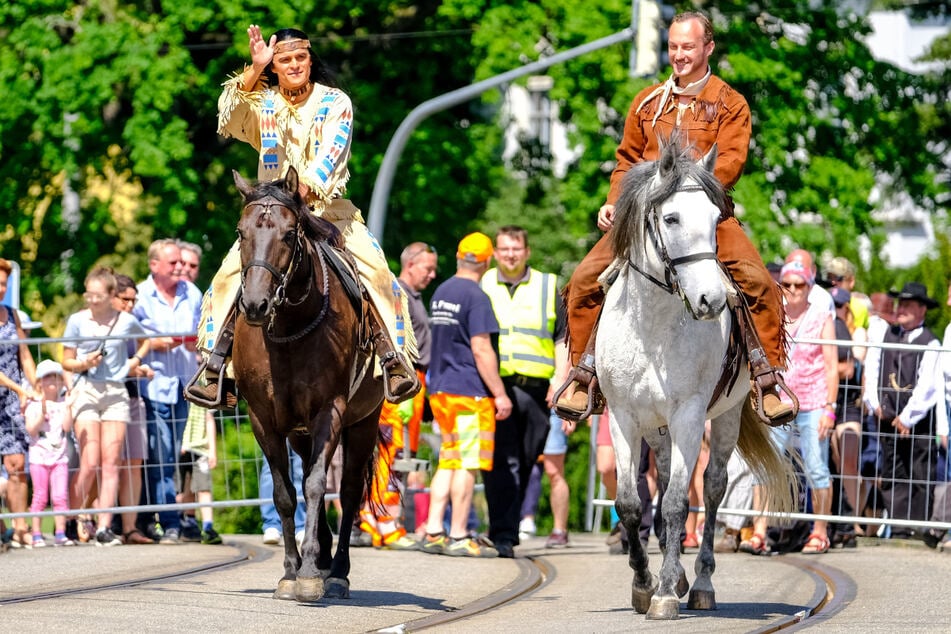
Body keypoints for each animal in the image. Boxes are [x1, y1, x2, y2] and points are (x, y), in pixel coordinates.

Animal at [231, 165, 384, 600]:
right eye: (240, 232)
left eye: (287, 234)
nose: (255, 304)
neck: (288, 330)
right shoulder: (264, 419)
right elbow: (286, 494)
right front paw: (291, 571)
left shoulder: (329, 412)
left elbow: (318, 486)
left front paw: (313, 574)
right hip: (298, 431)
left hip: (363, 422)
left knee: (347, 491)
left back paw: (338, 570)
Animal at [604, 137, 796, 616]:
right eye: (671, 217)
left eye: (715, 218)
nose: (711, 299)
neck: (651, 327)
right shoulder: (623, 416)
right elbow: (631, 502)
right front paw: (643, 583)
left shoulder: (690, 415)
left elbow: (677, 502)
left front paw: (665, 592)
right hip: (656, 427)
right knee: (665, 476)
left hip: (726, 416)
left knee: (711, 488)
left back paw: (701, 582)